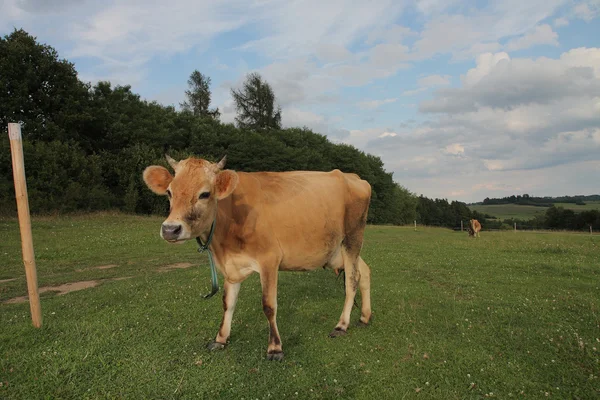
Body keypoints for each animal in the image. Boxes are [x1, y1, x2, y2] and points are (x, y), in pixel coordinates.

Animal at [143, 155, 372, 360]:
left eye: (205, 194)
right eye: (169, 192)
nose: (170, 229)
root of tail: (352, 176)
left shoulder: (269, 260)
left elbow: (269, 306)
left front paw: (275, 348)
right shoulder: (231, 266)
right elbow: (228, 302)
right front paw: (220, 338)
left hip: (352, 238)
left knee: (352, 280)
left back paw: (342, 325)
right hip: (336, 251)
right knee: (365, 272)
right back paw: (365, 316)